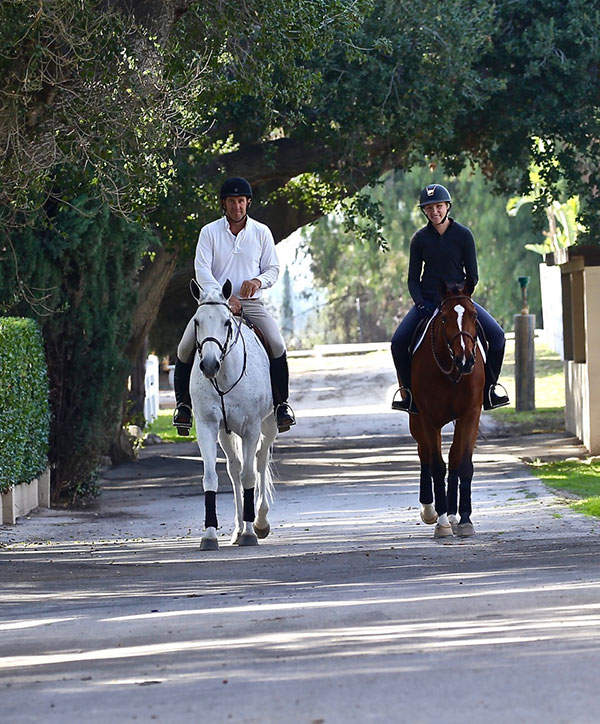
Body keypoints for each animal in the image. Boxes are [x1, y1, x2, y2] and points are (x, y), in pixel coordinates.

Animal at [188, 278, 276, 548]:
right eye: (197, 322)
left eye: (226, 322)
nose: (209, 365)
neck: (225, 375)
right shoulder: (207, 427)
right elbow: (211, 478)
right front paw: (209, 535)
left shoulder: (251, 428)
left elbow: (249, 476)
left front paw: (250, 532)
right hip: (226, 433)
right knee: (234, 469)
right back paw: (237, 530)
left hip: (269, 425)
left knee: (260, 461)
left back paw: (259, 522)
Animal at [410, 282, 486, 536]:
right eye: (444, 318)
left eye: (474, 315)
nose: (465, 360)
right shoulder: (428, 418)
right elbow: (436, 466)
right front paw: (441, 522)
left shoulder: (470, 415)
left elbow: (462, 464)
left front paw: (464, 519)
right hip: (416, 420)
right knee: (424, 453)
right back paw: (429, 511)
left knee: (453, 457)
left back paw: (453, 515)